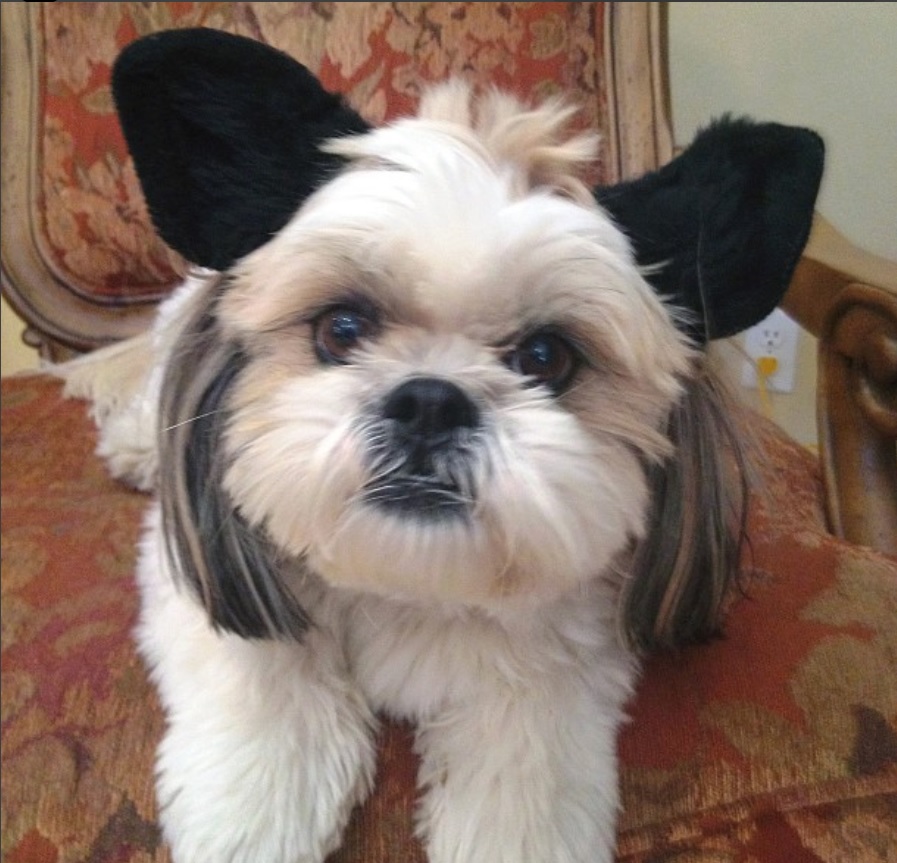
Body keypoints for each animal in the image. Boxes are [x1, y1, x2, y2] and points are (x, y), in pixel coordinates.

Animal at [59, 27, 824, 863]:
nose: (429, 401)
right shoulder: (194, 573)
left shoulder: (573, 634)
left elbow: (529, 729)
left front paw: (516, 822)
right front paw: (259, 802)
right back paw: (135, 448)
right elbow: (267, 664)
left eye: (546, 356)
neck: (409, 584)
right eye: (341, 329)